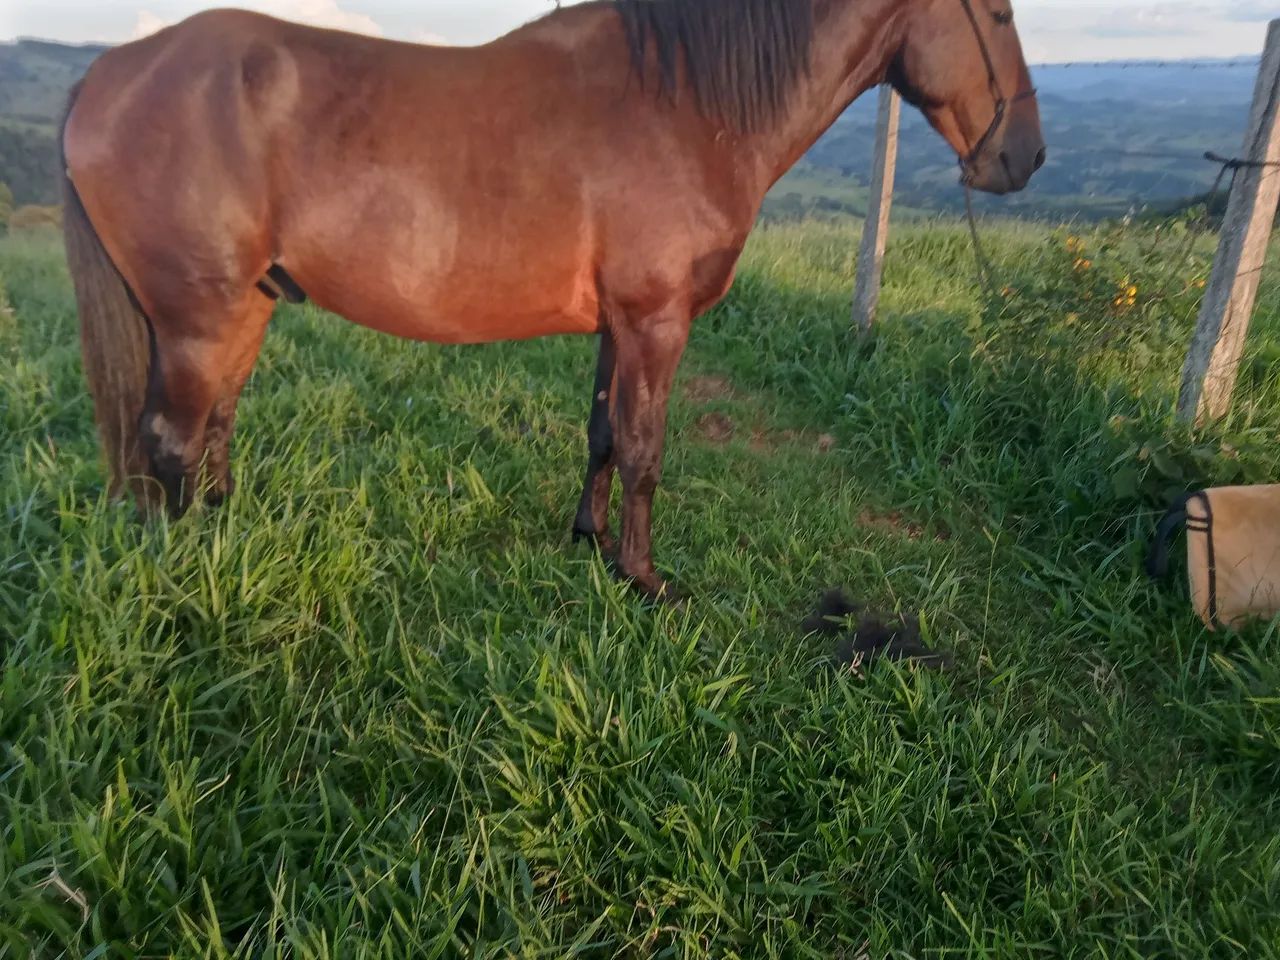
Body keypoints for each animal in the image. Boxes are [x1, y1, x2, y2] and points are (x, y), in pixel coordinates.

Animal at [61, 0, 1044, 598]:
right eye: (997, 13)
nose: (1025, 157)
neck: (686, 106)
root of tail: (109, 73)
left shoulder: (619, 324)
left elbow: (604, 432)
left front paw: (587, 540)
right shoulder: (657, 322)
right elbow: (646, 450)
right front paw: (643, 580)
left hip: (246, 308)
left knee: (213, 426)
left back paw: (228, 532)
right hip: (199, 316)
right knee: (168, 440)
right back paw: (188, 572)